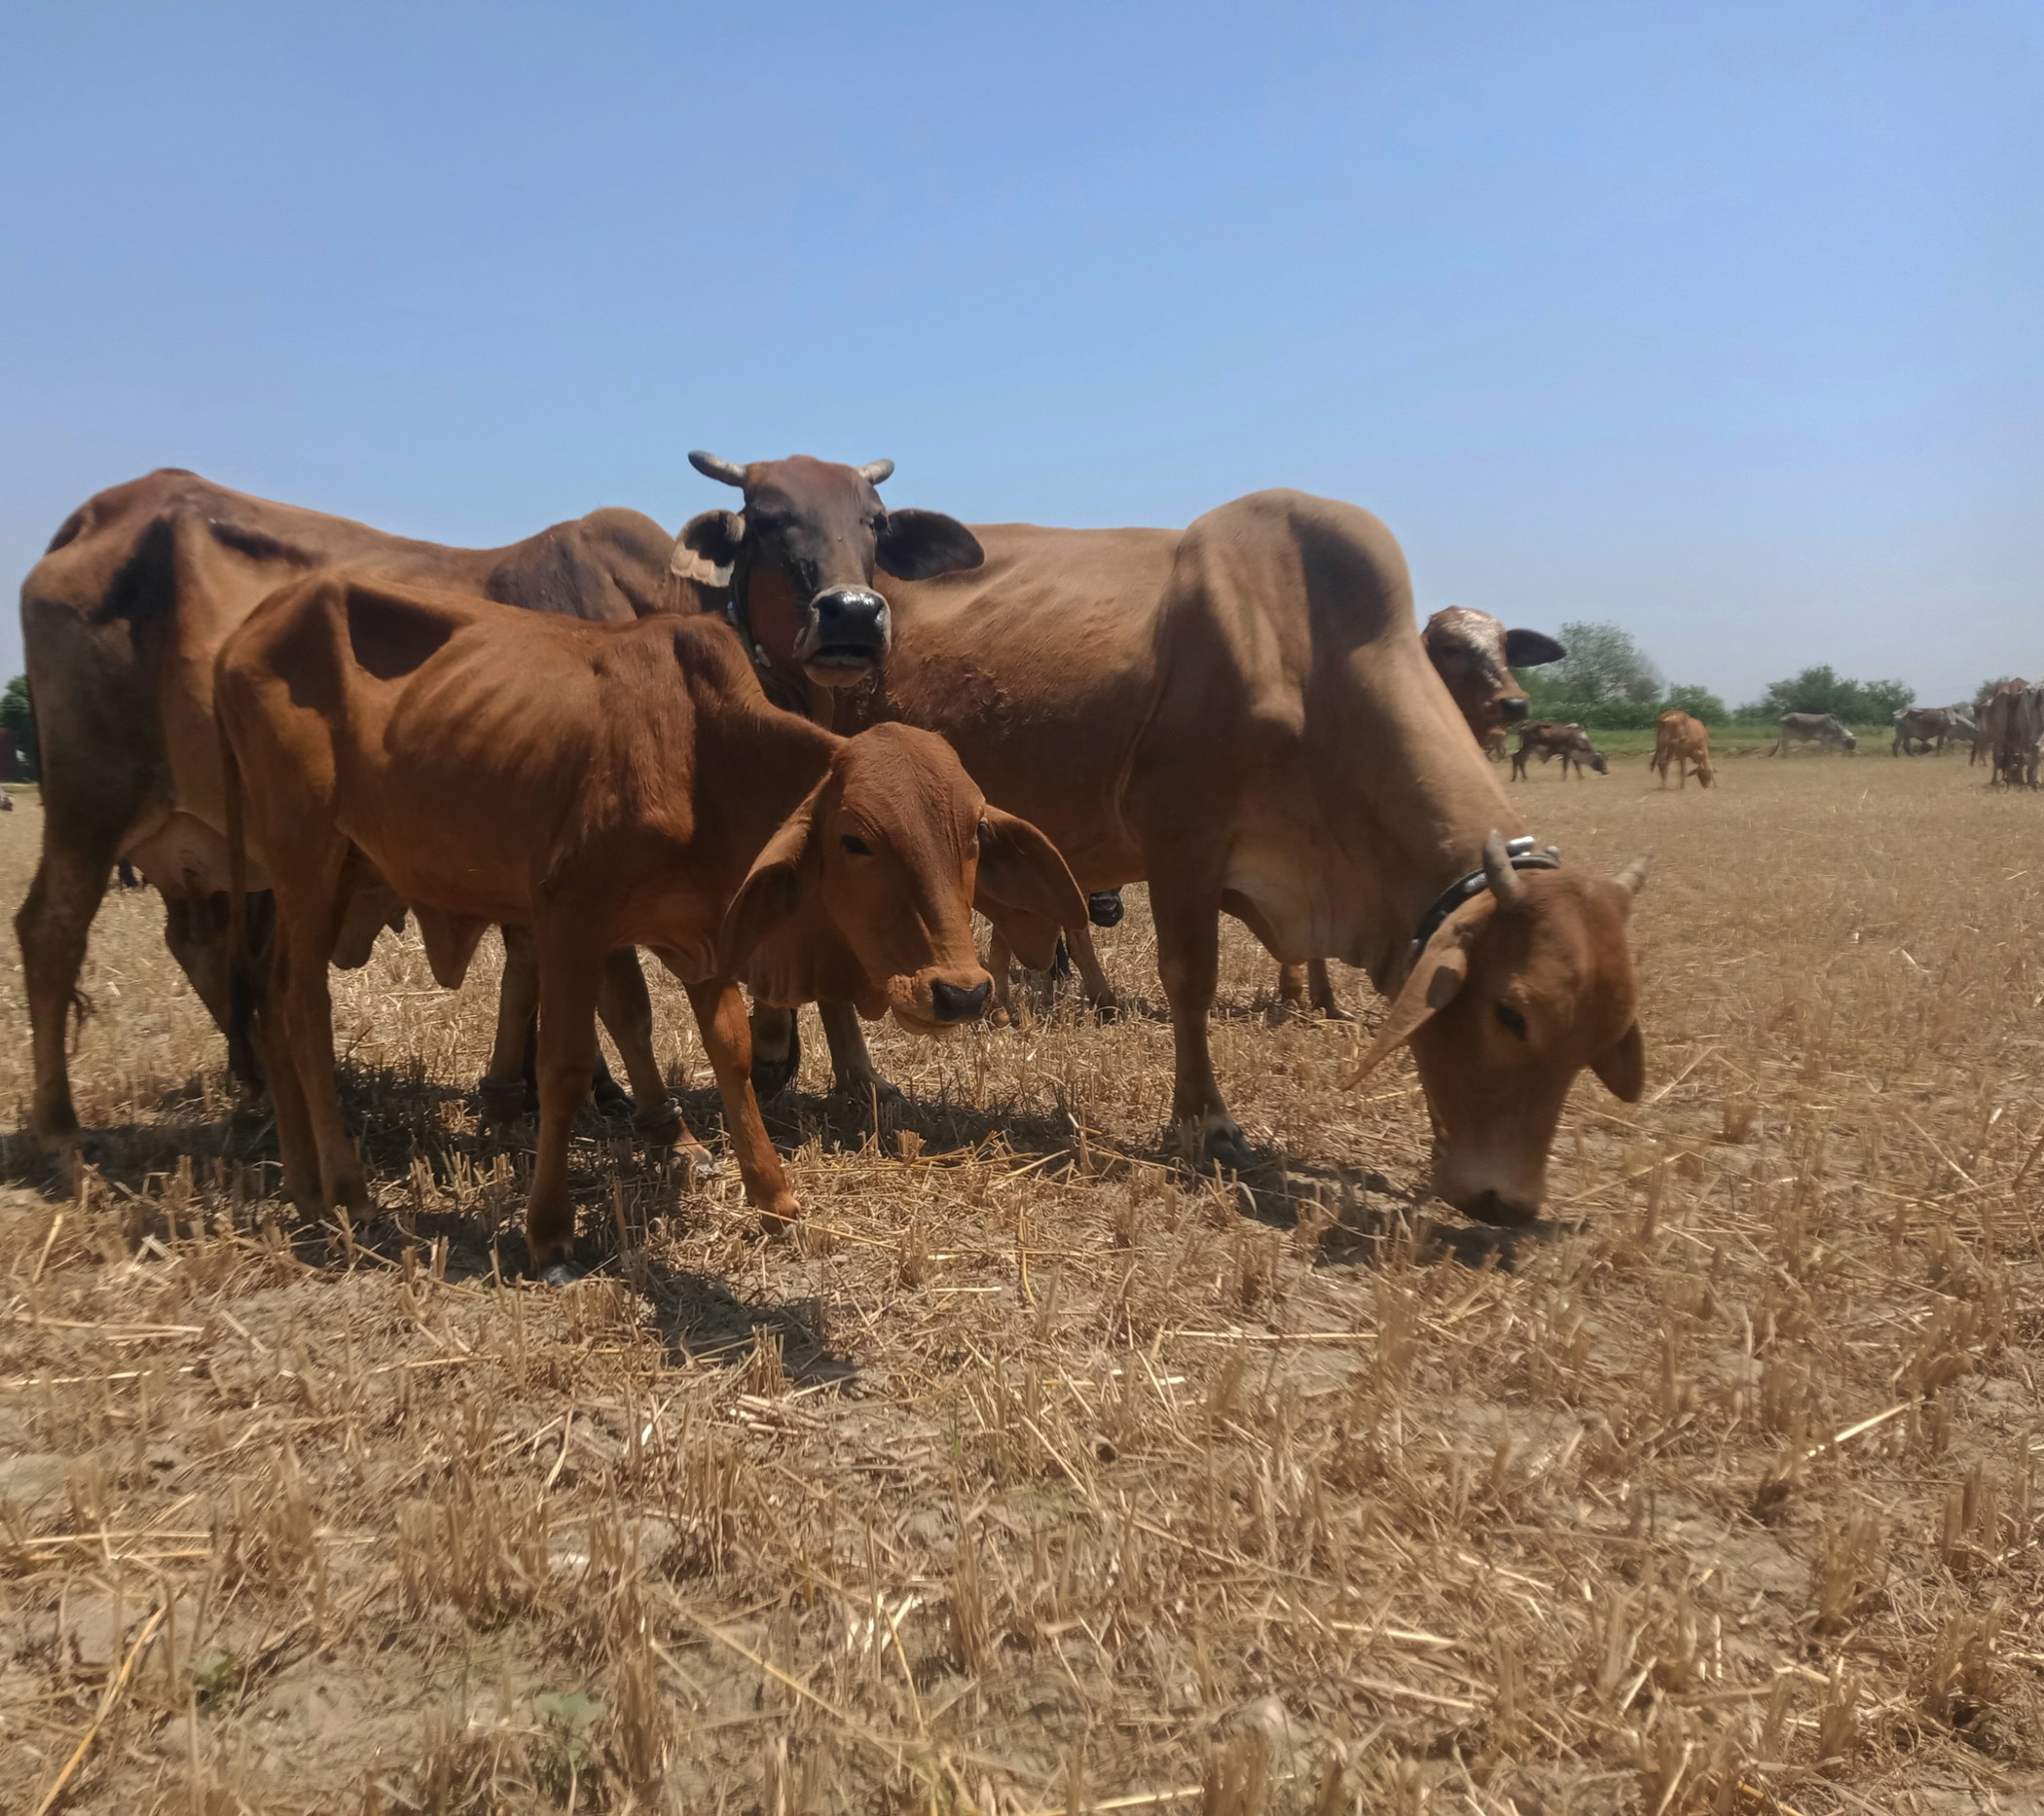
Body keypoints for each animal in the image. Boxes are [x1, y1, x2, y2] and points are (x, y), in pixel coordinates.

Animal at [14, 467, 703, 1144]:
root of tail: (97, 516)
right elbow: (618, 998)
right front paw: (654, 1121)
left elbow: (532, 980)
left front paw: (525, 1097)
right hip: (92, 802)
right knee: (51, 930)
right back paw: (62, 1132)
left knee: (204, 949)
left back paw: (265, 1084)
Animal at [682, 482, 1643, 1217]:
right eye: (1511, 1015)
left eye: (1602, 1035)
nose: (1505, 1204)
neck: (1305, 652)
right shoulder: (1185, 843)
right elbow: (1191, 983)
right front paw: (1207, 1123)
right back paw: (847, 1075)